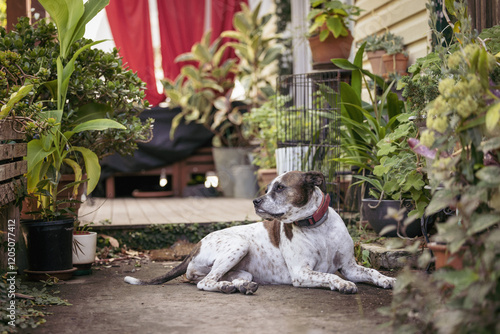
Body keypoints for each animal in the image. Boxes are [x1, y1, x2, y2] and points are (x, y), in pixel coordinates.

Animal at [124, 171, 394, 294]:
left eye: (280, 188)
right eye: (267, 188)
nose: (255, 201)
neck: (318, 227)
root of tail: (194, 247)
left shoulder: (350, 266)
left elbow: (371, 271)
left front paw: (387, 279)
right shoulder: (301, 273)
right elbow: (330, 276)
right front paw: (343, 284)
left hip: (241, 268)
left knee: (221, 278)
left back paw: (241, 285)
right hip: (238, 245)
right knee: (204, 282)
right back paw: (227, 288)